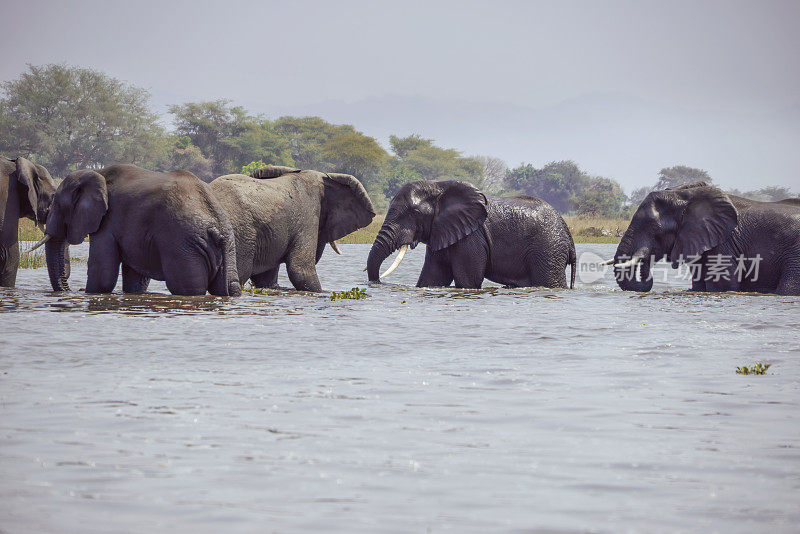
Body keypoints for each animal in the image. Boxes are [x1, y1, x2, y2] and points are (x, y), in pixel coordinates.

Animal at [35, 164, 241, 298]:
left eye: (56, 204)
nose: (70, 290)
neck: (97, 173)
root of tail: (216, 225)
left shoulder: (108, 222)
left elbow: (103, 274)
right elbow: (135, 277)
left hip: (183, 246)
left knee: (188, 287)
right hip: (226, 246)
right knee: (231, 285)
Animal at [366, 180, 580, 288]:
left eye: (414, 214)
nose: (378, 282)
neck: (438, 186)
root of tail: (568, 236)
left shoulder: (472, 238)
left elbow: (468, 281)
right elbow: (433, 278)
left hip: (548, 250)